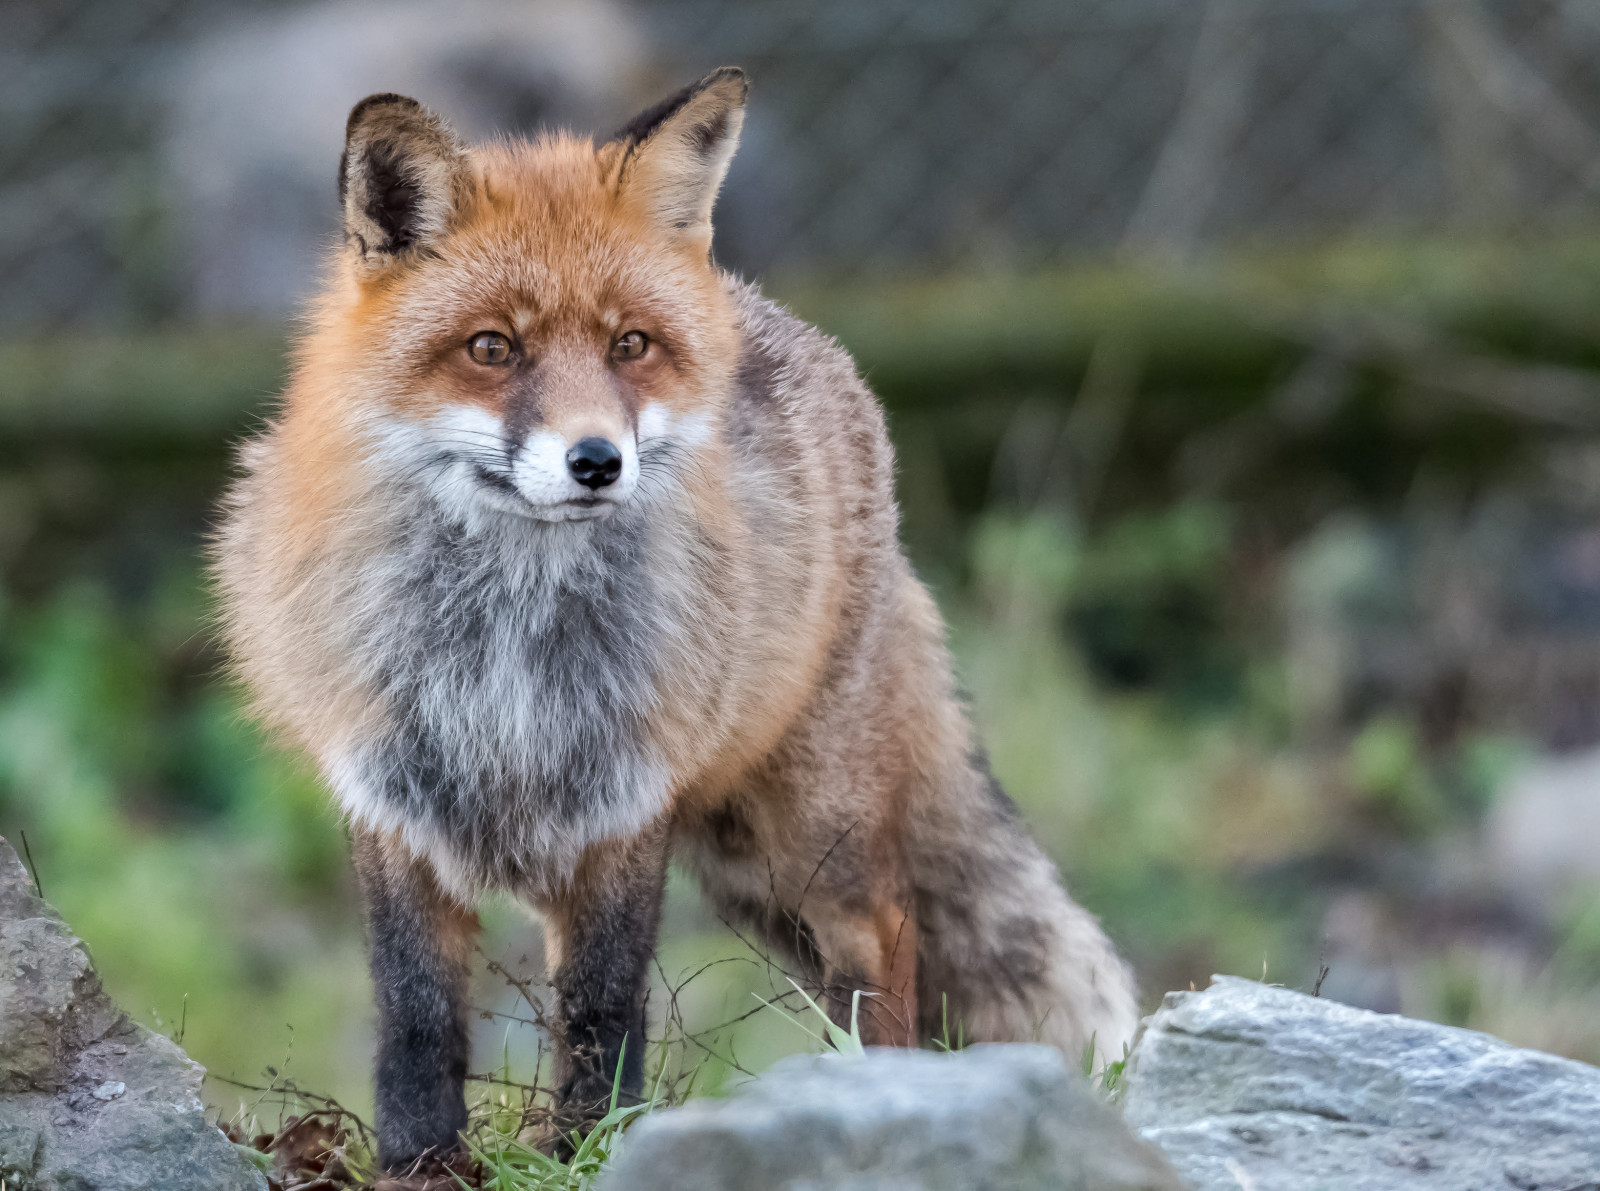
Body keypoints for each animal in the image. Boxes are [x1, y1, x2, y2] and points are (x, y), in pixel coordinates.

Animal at [212, 67, 1138, 1177]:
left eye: (630, 345)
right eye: (492, 348)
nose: (596, 461)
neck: (508, 643)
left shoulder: (627, 796)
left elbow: (602, 1007)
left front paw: (590, 1150)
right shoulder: (393, 794)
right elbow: (416, 1010)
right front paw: (419, 1163)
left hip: (807, 834)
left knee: (888, 932)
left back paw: (889, 1095)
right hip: (736, 865)